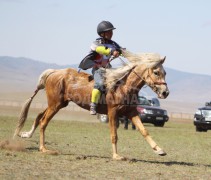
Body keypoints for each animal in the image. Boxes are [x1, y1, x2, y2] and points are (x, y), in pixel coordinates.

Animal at [13, 50, 169, 160]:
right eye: (156, 72)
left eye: (165, 72)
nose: (165, 92)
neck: (123, 86)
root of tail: (55, 72)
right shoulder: (113, 113)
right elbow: (114, 134)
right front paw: (116, 156)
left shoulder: (131, 113)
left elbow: (144, 131)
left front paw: (159, 150)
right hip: (55, 105)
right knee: (44, 122)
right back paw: (43, 148)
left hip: (58, 104)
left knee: (40, 116)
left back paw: (27, 134)